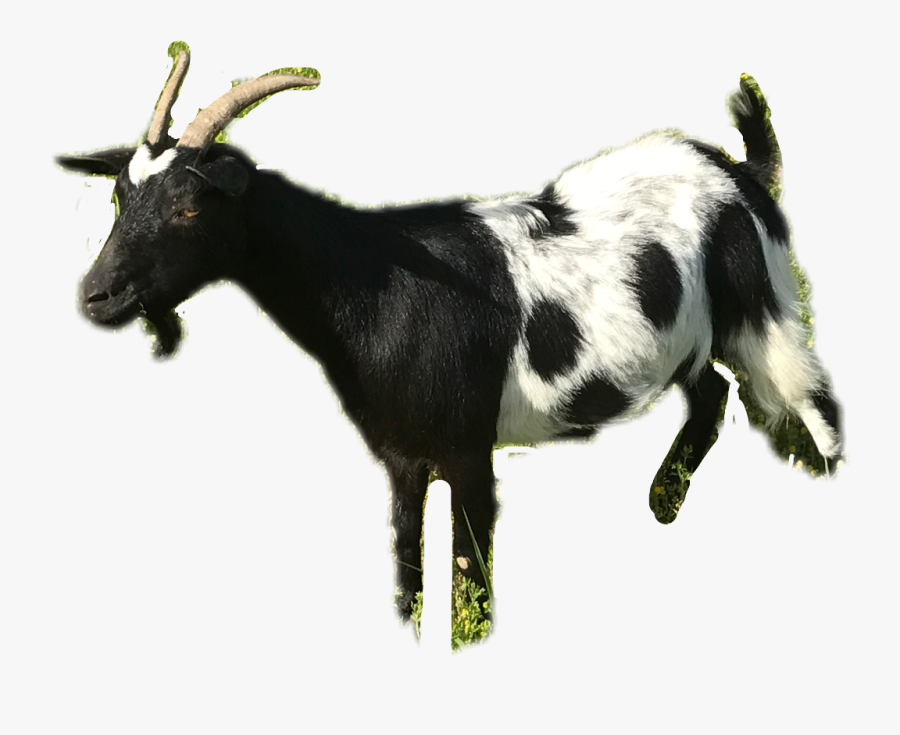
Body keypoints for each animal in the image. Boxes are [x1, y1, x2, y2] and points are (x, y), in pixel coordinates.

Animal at [57, 45, 842, 623]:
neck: (378, 284)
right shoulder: (402, 457)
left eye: (190, 207)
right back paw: (662, 506)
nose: (96, 297)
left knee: (812, 402)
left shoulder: (468, 452)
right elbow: (409, 571)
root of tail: (739, 169)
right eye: (121, 194)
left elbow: (473, 578)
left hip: (764, 309)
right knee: (710, 394)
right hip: (685, 337)